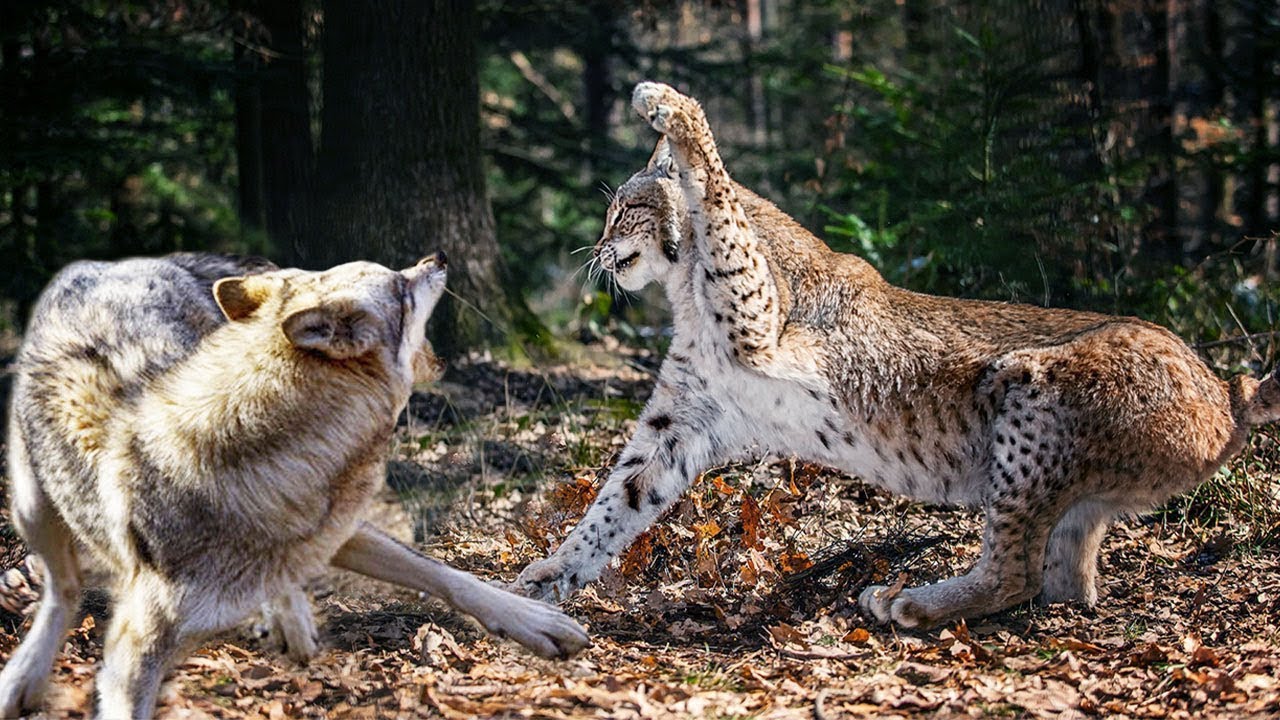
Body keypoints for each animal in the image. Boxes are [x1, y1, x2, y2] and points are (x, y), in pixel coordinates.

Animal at [1, 252, 588, 718]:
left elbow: (446, 574)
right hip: (32, 507)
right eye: (401, 289)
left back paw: (292, 623)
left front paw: (536, 622)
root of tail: (104, 264)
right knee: (62, 589)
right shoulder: (132, 656)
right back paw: (22, 676)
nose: (438, 256)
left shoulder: (338, 529)